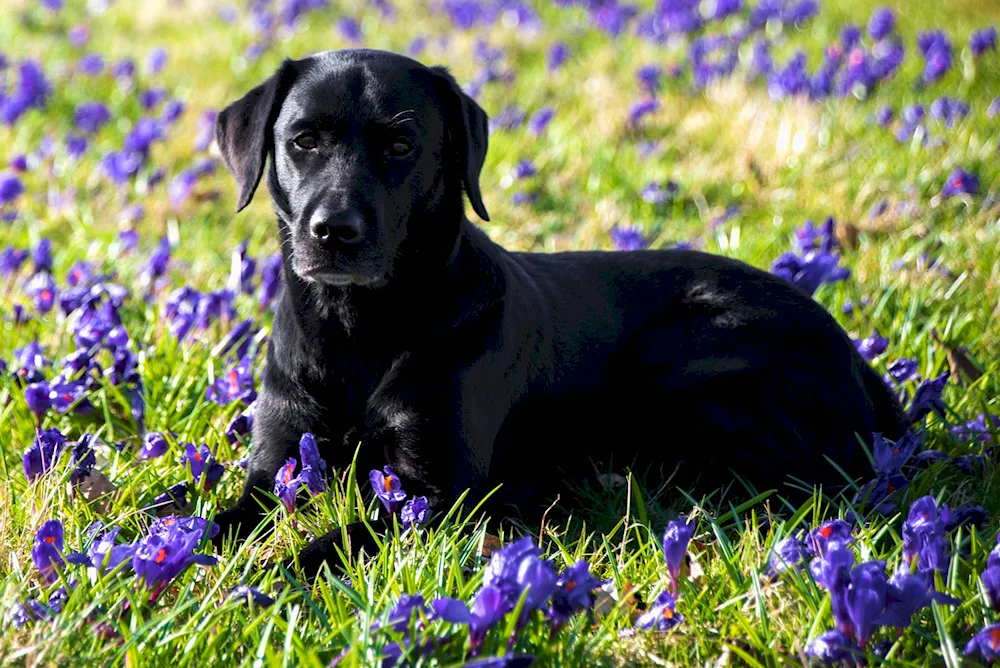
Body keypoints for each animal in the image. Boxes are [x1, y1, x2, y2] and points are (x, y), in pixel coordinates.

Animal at [209, 49, 908, 572]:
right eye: (303, 140)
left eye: (401, 144)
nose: (334, 231)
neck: (358, 328)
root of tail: (854, 355)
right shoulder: (278, 465)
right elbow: (210, 515)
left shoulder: (438, 489)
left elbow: (342, 537)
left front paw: (269, 576)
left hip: (679, 356)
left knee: (814, 480)